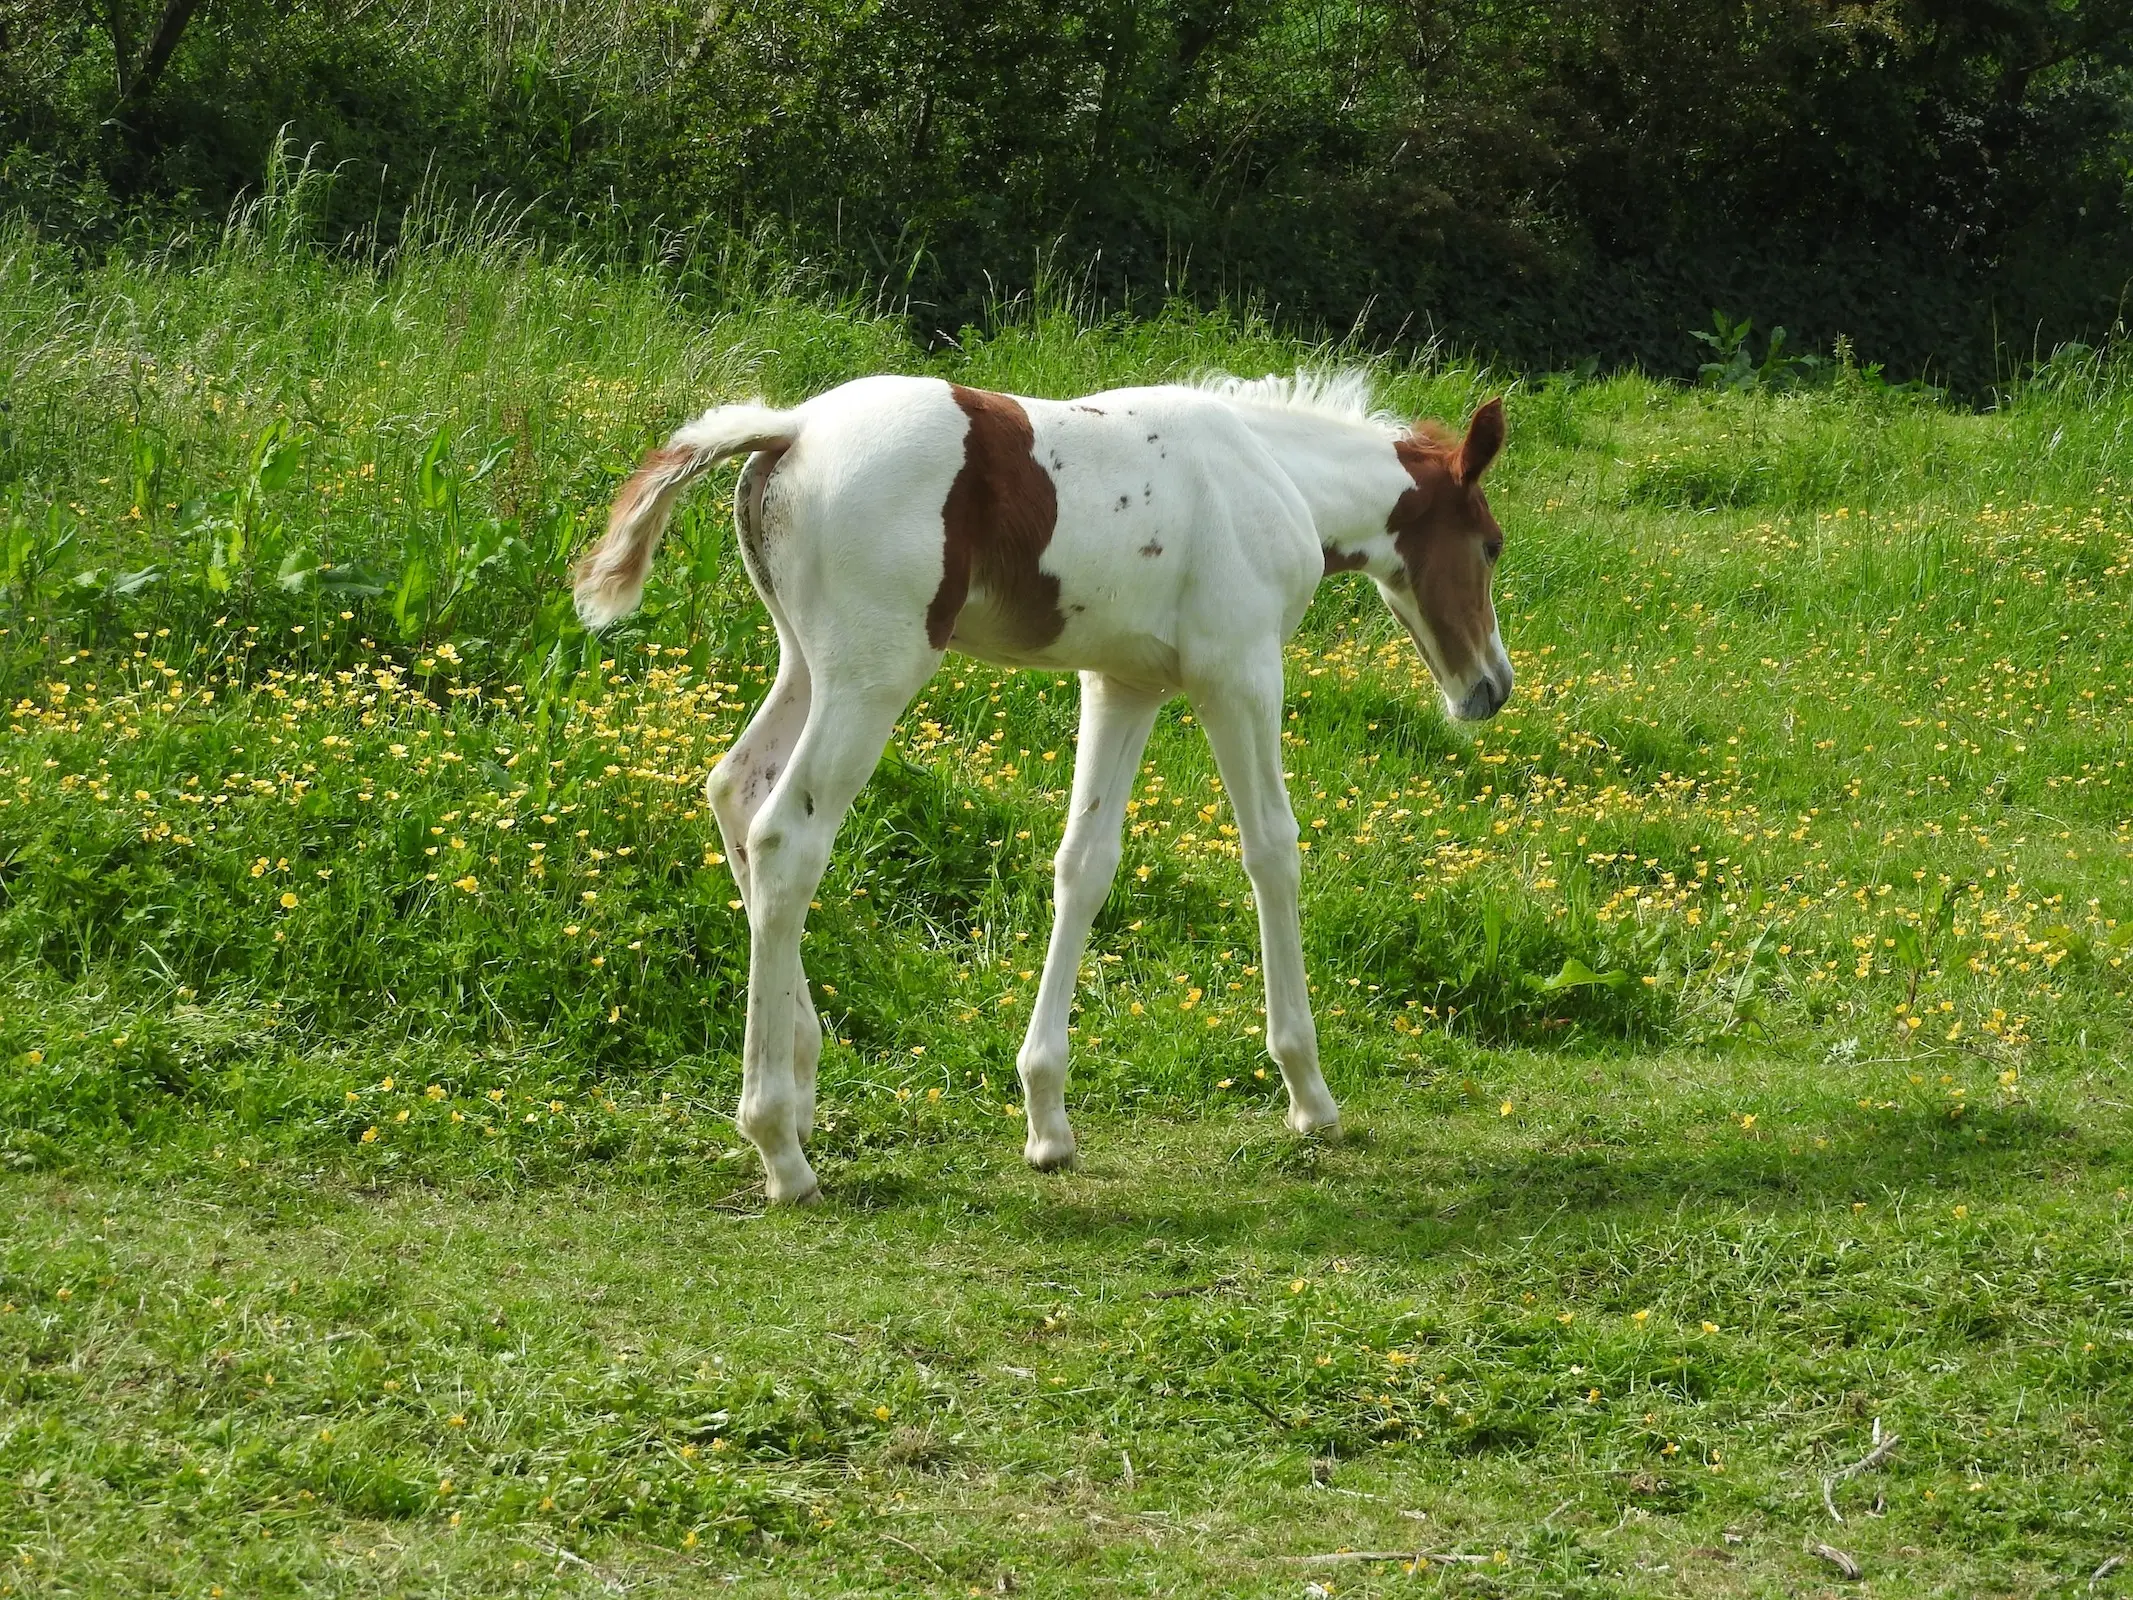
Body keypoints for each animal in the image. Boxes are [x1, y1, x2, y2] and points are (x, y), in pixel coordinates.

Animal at [575, 373, 1510, 1203]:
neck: (1272, 469)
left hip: (806, 662)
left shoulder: (1123, 684)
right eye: (1491, 545)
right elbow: (1271, 852)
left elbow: (1084, 864)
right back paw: (779, 1148)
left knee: (735, 790)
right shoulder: (1239, 673)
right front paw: (1309, 1094)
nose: (1489, 688)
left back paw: (801, 1089)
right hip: (873, 677)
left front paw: (1047, 1119)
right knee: (786, 838)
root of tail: (792, 428)